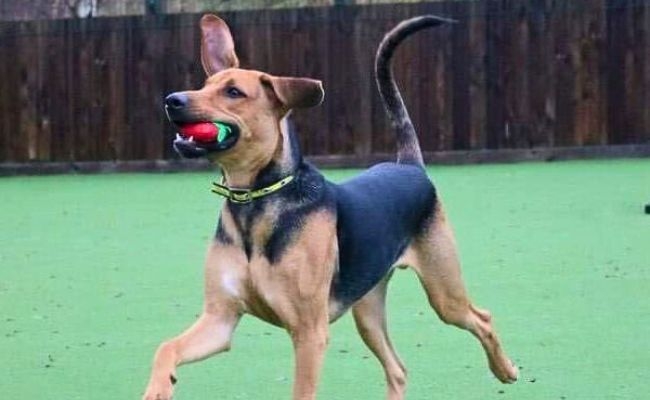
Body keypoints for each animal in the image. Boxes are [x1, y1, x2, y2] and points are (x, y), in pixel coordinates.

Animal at [142, 14, 516, 400]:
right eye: (205, 85)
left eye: (233, 92)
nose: (172, 100)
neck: (256, 201)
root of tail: (410, 166)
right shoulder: (221, 319)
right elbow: (166, 347)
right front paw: (158, 387)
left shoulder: (309, 333)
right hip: (367, 309)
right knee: (397, 369)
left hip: (444, 293)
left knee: (481, 318)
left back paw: (506, 370)